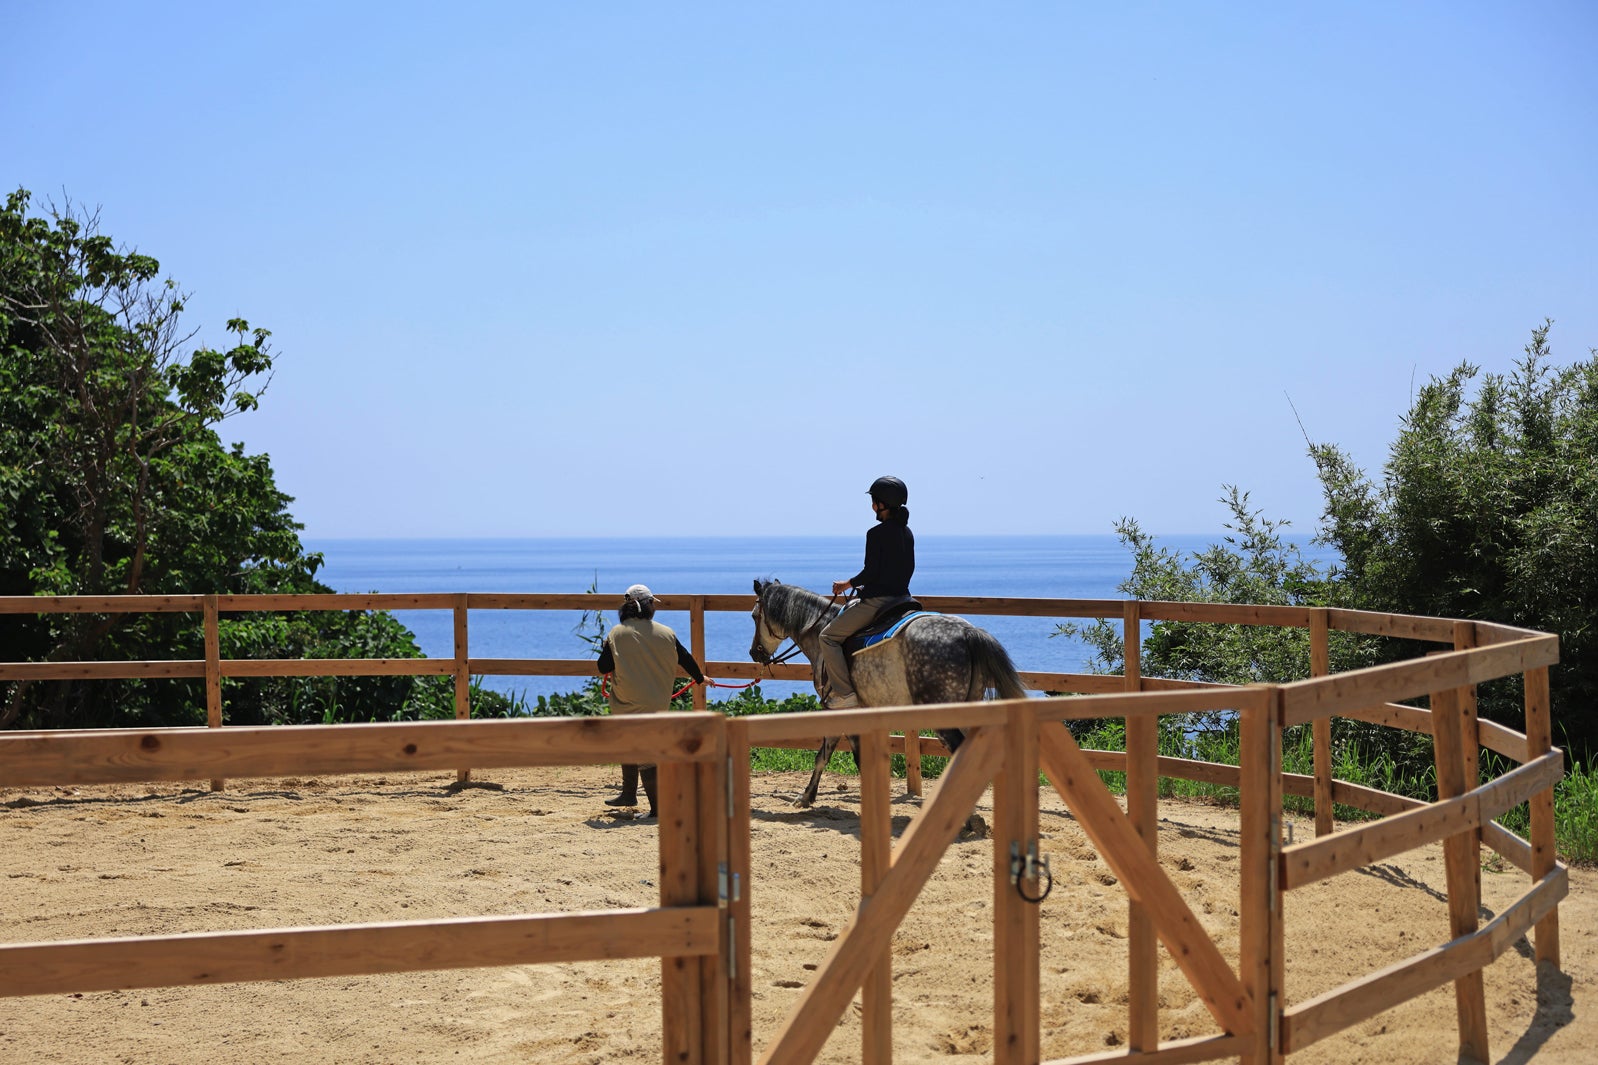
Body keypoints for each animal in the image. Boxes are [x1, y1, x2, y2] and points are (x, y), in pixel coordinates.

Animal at [748, 578, 1027, 808]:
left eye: (754, 616)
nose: (754, 653)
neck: (820, 631)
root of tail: (969, 633)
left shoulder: (837, 708)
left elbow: (830, 755)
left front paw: (807, 796)